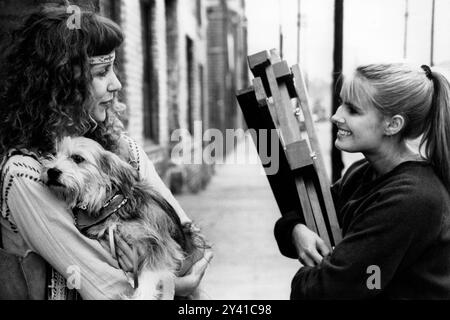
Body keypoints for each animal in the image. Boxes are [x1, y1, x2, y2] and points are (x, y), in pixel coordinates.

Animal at [40, 136, 206, 300]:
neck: (110, 204)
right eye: (55, 154)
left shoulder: (162, 245)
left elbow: (148, 277)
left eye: (77, 158)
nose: (52, 171)